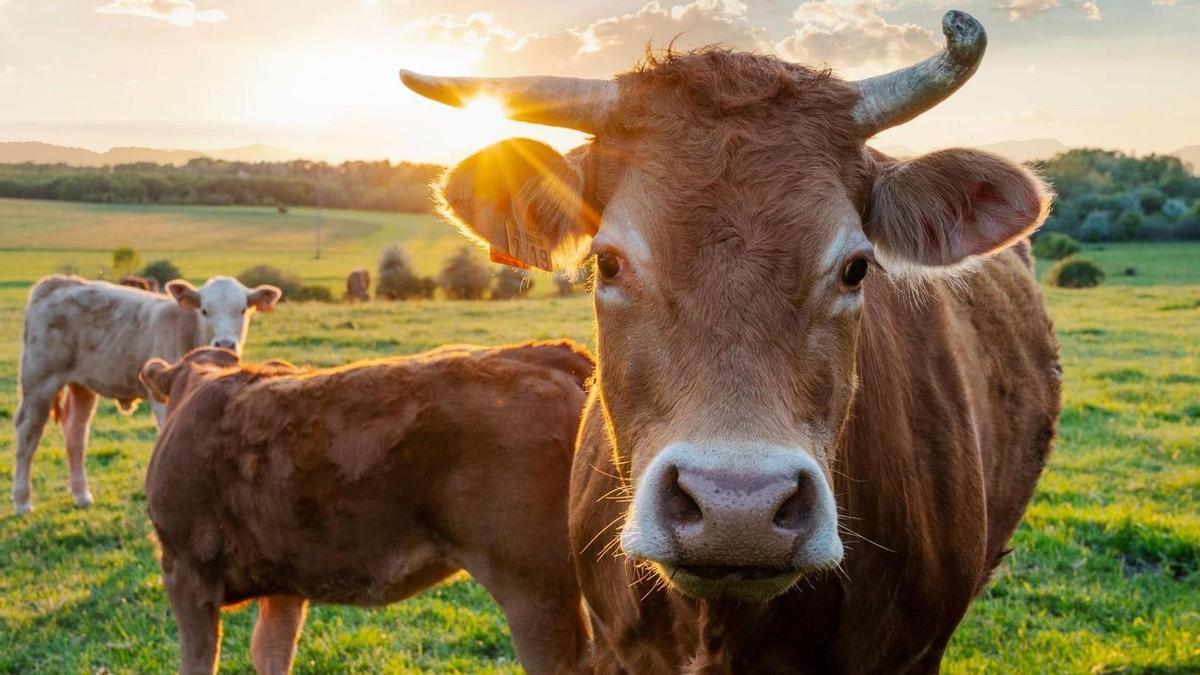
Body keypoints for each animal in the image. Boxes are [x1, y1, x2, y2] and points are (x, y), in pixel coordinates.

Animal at [12, 275, 281, 515]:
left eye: (243, 310)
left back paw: (81, 495)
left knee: (76, 433)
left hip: (82, 385)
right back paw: (22, 501)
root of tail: (56, 282)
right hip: (39, 380)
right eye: (204, 310)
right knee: (28, 434)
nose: (225, 344)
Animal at [138, 341, 594, 675]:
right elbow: (270, 652)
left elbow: (200, 661)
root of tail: (537, 353)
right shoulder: (283, 583)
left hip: (532, 587)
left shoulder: (184, 568)